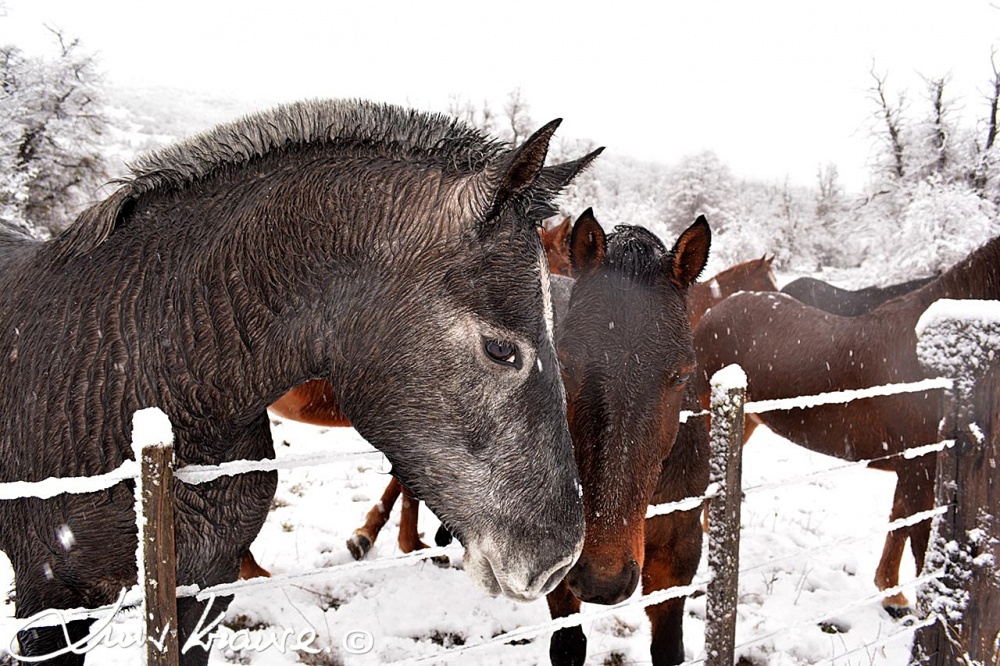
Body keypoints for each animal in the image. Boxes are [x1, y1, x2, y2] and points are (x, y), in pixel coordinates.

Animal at [548, 209, 712, 664]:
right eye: (564, 361)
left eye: (681, 374)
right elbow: (568, 646)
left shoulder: (679, 554)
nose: (602, 579)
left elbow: (669, 647)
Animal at [692, 232, 1000, 612]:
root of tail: (714, 310)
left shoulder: (913, 471)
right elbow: (919, 545)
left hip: (746, 421)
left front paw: (892, 594)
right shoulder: (921, 471)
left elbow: (899, 522)